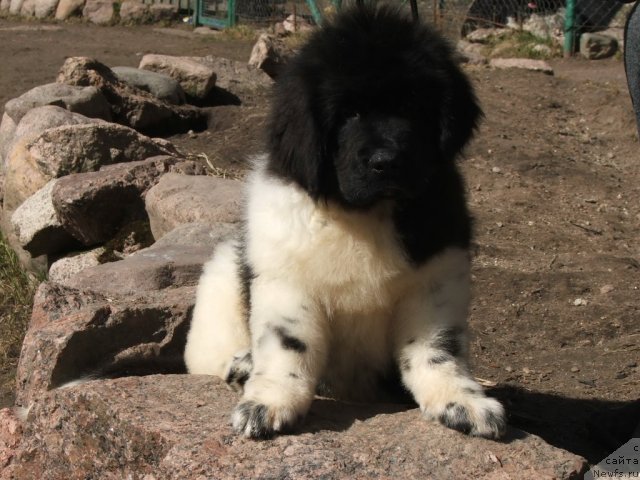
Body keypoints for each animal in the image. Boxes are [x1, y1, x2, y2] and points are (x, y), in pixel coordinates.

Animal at [184, 4, 504, 438]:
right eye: (349, 114)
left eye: (412, 109)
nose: (386, 162)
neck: (362, 215)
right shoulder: (286, 277)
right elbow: (289, 347)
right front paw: (268, 403)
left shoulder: (436, 275)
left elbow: (436, 350)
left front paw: (462, 402)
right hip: (220, 283)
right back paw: (244, 365)